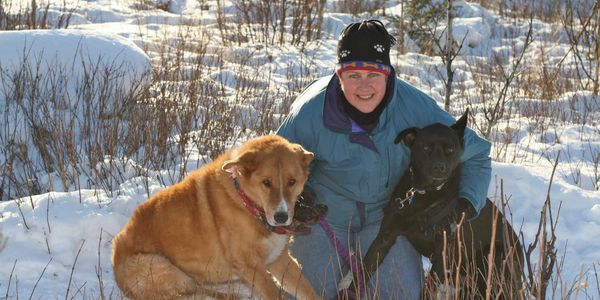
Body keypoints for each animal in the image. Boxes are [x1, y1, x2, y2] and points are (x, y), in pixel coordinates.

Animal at [112, 136, 318, 300]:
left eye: (292, 182)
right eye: (266, 182)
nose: (282, 217)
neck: (247, 203)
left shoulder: (280, 259)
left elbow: (308, 291)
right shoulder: (252, 267)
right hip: (160, 266)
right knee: (194, 292)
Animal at [356, 111, 520, 298]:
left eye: (451, 149)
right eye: (426, 148)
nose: (439, 168)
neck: (423, 192)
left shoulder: (443, 253)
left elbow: (427, 291)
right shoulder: (386, 234)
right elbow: (363, 269)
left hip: (495, 256)